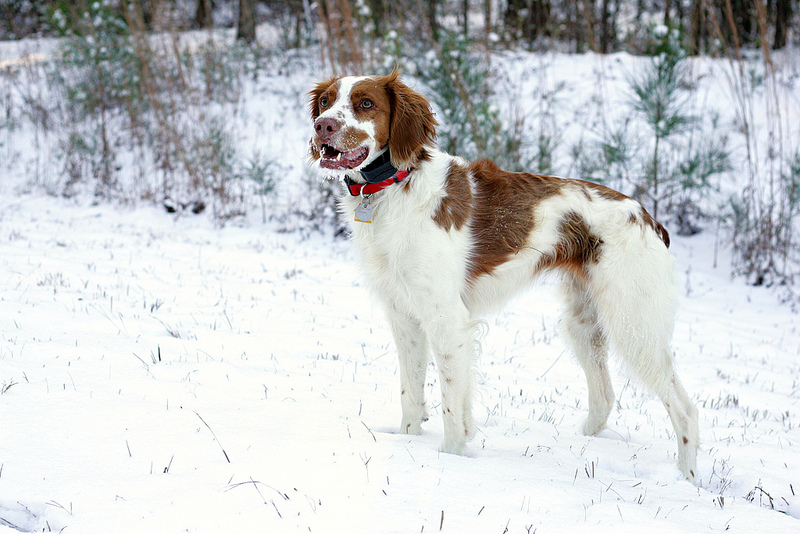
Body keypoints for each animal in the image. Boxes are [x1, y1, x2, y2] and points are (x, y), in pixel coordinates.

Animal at [310, 69, 696, 484]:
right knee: (606, 395)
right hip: (583, 323)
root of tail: (647, 217)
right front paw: (409, 442)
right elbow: (412, 395)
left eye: (366, 103)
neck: (392, 188)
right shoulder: (405, 317)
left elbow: (450, 406)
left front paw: (449, 459)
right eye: (326, 101)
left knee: (685, 409)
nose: (323, 126)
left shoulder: (447, 321)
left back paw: (688, 481)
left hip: (633, 325)